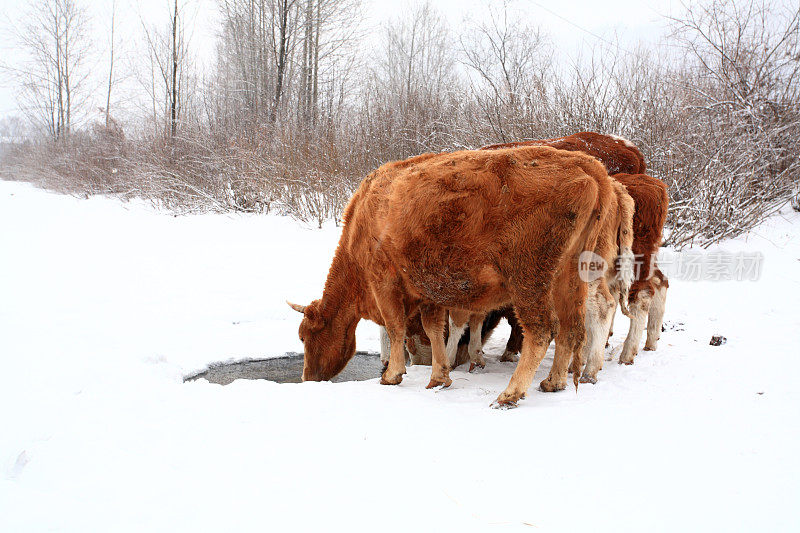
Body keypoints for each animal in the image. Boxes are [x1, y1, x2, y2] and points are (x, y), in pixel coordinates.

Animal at [288, 145, 632, 408]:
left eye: (305, 336)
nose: (306, 379)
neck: (365, 216)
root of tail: (590, 168)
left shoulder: (384, 282)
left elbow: (396, 327)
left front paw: (392, 375)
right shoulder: (427, 291)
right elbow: (434, 329)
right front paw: (439, 377)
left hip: (530, 282)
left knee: (542, 330)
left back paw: (509, 394)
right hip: (571, 280)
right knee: (573, 328)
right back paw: (554, 382)